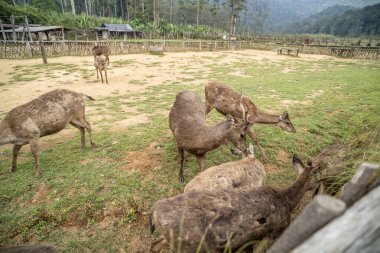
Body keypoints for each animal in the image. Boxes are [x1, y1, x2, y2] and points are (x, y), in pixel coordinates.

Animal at [148, 155, 314, 252]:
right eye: (315, 175)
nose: (315, 188)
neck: (286, 200)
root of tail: (154, 212)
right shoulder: (273, 233)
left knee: (154, 244)